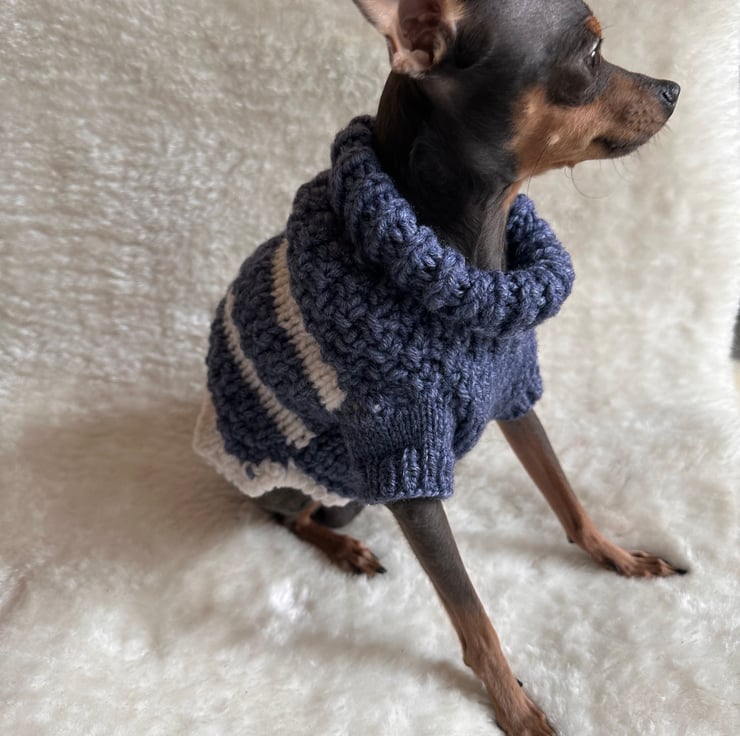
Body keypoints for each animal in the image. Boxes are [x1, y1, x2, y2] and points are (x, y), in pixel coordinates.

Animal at [194, 1, 683, 733]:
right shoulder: (408, 468)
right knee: (291, 519)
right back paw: (344, 550)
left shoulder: (512, 394)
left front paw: (617, 557)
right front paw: (514, 706)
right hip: (320, 489)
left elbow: (565, 496)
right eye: (593, 54)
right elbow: (472, 615)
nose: (673, 90)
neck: (467, 257)